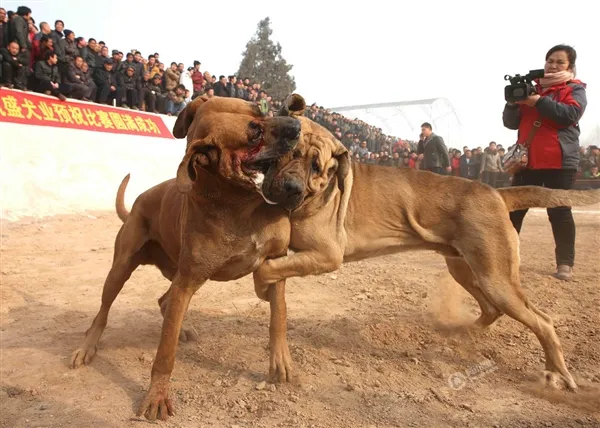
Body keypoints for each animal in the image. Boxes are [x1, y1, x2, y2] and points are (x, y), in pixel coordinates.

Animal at [69, 94, 308, 422]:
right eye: (253, 134)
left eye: (259, 110)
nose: (297, 125)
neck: (238, 202)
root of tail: (137, 203)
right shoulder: (186, 282)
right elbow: (164, 354)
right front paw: (156, 395)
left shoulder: (275, 263)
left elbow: (279, 316)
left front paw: (281, 361)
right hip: (122, 269)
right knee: (104, 312)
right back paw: (87, 346)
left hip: (178, 272)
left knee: (165, 302)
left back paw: (180, 327)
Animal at [251, 97, 600, 392]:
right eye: (289, 153)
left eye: (316, 166)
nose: (291, 187)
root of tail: (497, 193)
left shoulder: (327, 255)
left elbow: (267, 269)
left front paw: (262, 286)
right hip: (466, 269)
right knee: (492, 308)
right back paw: (464, 331)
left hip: (496, 276)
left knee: (542, 321)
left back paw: (557, 373)